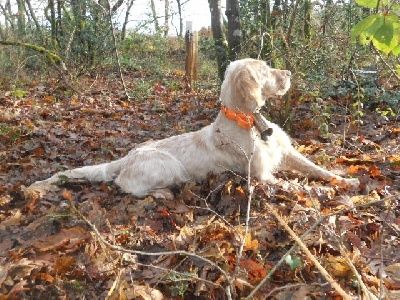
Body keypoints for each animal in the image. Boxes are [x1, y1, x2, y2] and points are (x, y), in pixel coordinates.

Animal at [23, 58, 358, 199]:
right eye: (265, 70)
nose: (289, 73)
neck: (248, 121)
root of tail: (126, 157)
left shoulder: (286, 153)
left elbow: (319, 170)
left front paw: (348, 180)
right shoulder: (261, 176)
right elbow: (298, 184)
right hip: (168, 167)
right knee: (126, 186)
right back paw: (161, 194)